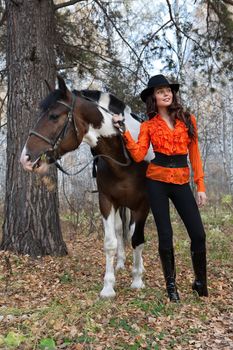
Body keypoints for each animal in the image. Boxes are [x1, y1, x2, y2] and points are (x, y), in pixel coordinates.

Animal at [20, 75, 154, 296]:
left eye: (54, 116)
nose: (26, 158)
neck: (124, 157)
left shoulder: (142, 204)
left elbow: (138, 239)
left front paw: (137, 279)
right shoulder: (106, 201)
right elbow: (110, 242)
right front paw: (108, 286)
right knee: (120, 230)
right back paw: (120, 263)